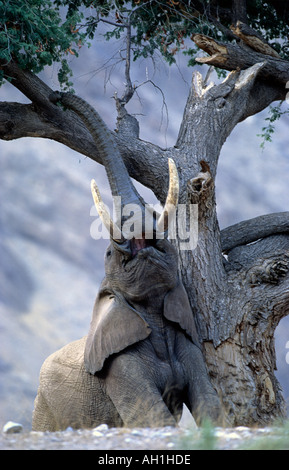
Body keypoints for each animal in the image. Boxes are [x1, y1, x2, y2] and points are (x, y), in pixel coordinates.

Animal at [32, 93, 220, 432]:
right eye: (109, 254)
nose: (57, 96)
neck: (153, 317)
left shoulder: (188, 341)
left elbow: (208, 401)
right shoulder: (118, 365)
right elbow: (152, 415)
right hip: (44, 407)